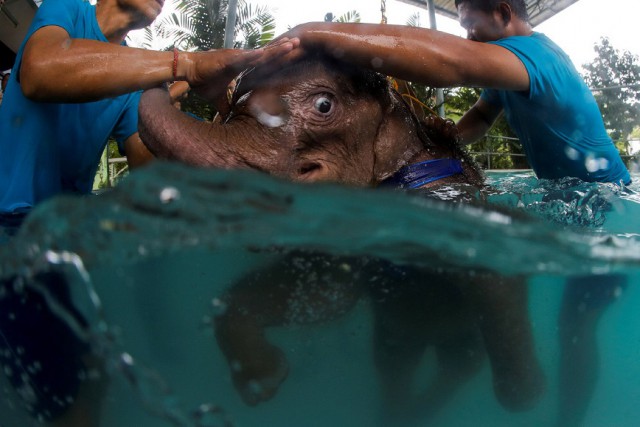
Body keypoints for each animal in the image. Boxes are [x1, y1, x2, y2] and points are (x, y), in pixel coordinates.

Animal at [138, 51, 544, 422]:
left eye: (323, 105)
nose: (174, 81)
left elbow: (494, 269)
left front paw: (524, 391)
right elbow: (328, 293)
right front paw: (265, 380)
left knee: (459, 361)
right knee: (395, 362)